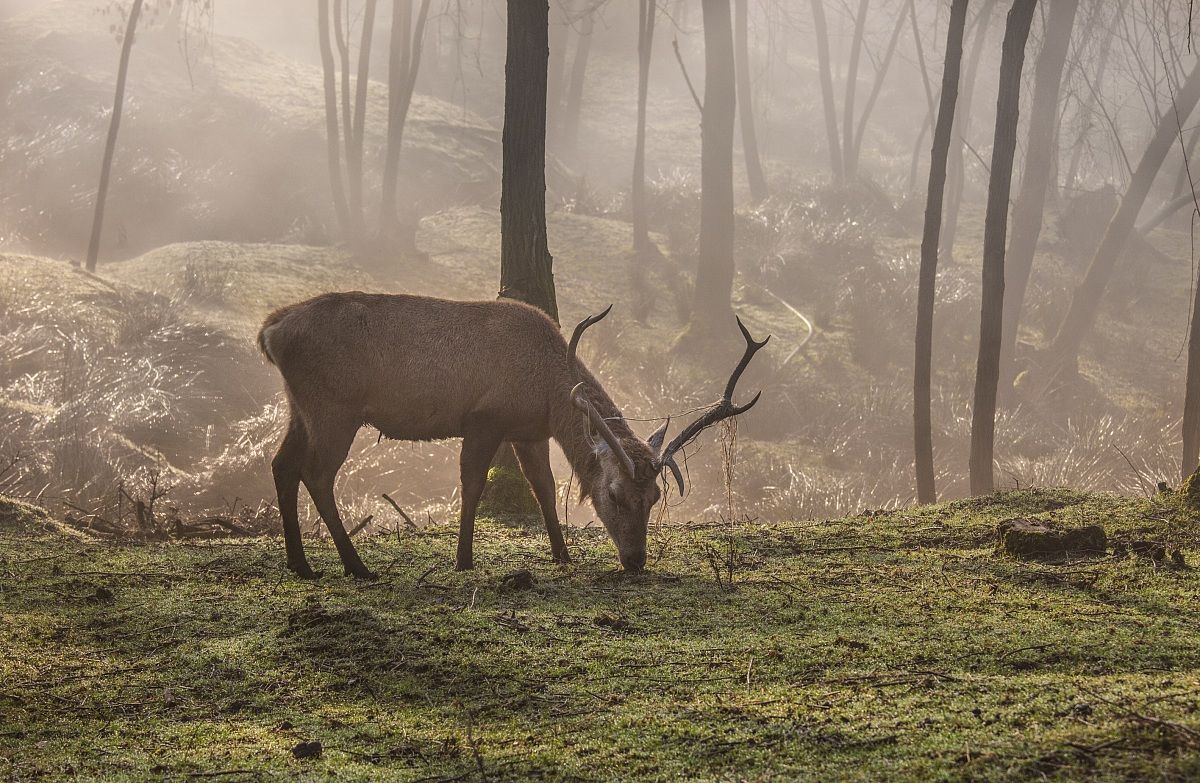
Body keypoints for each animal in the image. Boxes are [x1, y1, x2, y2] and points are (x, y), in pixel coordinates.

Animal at [257, 292, 768, 580]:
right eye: (614, 493)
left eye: (656, 496)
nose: (636, 559)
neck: (546, 394)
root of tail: (269, 331)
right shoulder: (485, 418)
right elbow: (473, 483)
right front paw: (463, 558)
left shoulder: (529, 432)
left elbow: (544, 486)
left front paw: (562, 554)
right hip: (334, 408)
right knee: (316, 473)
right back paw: (357, 566)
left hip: (301, 407)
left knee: (281, 464)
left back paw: (301, 564)